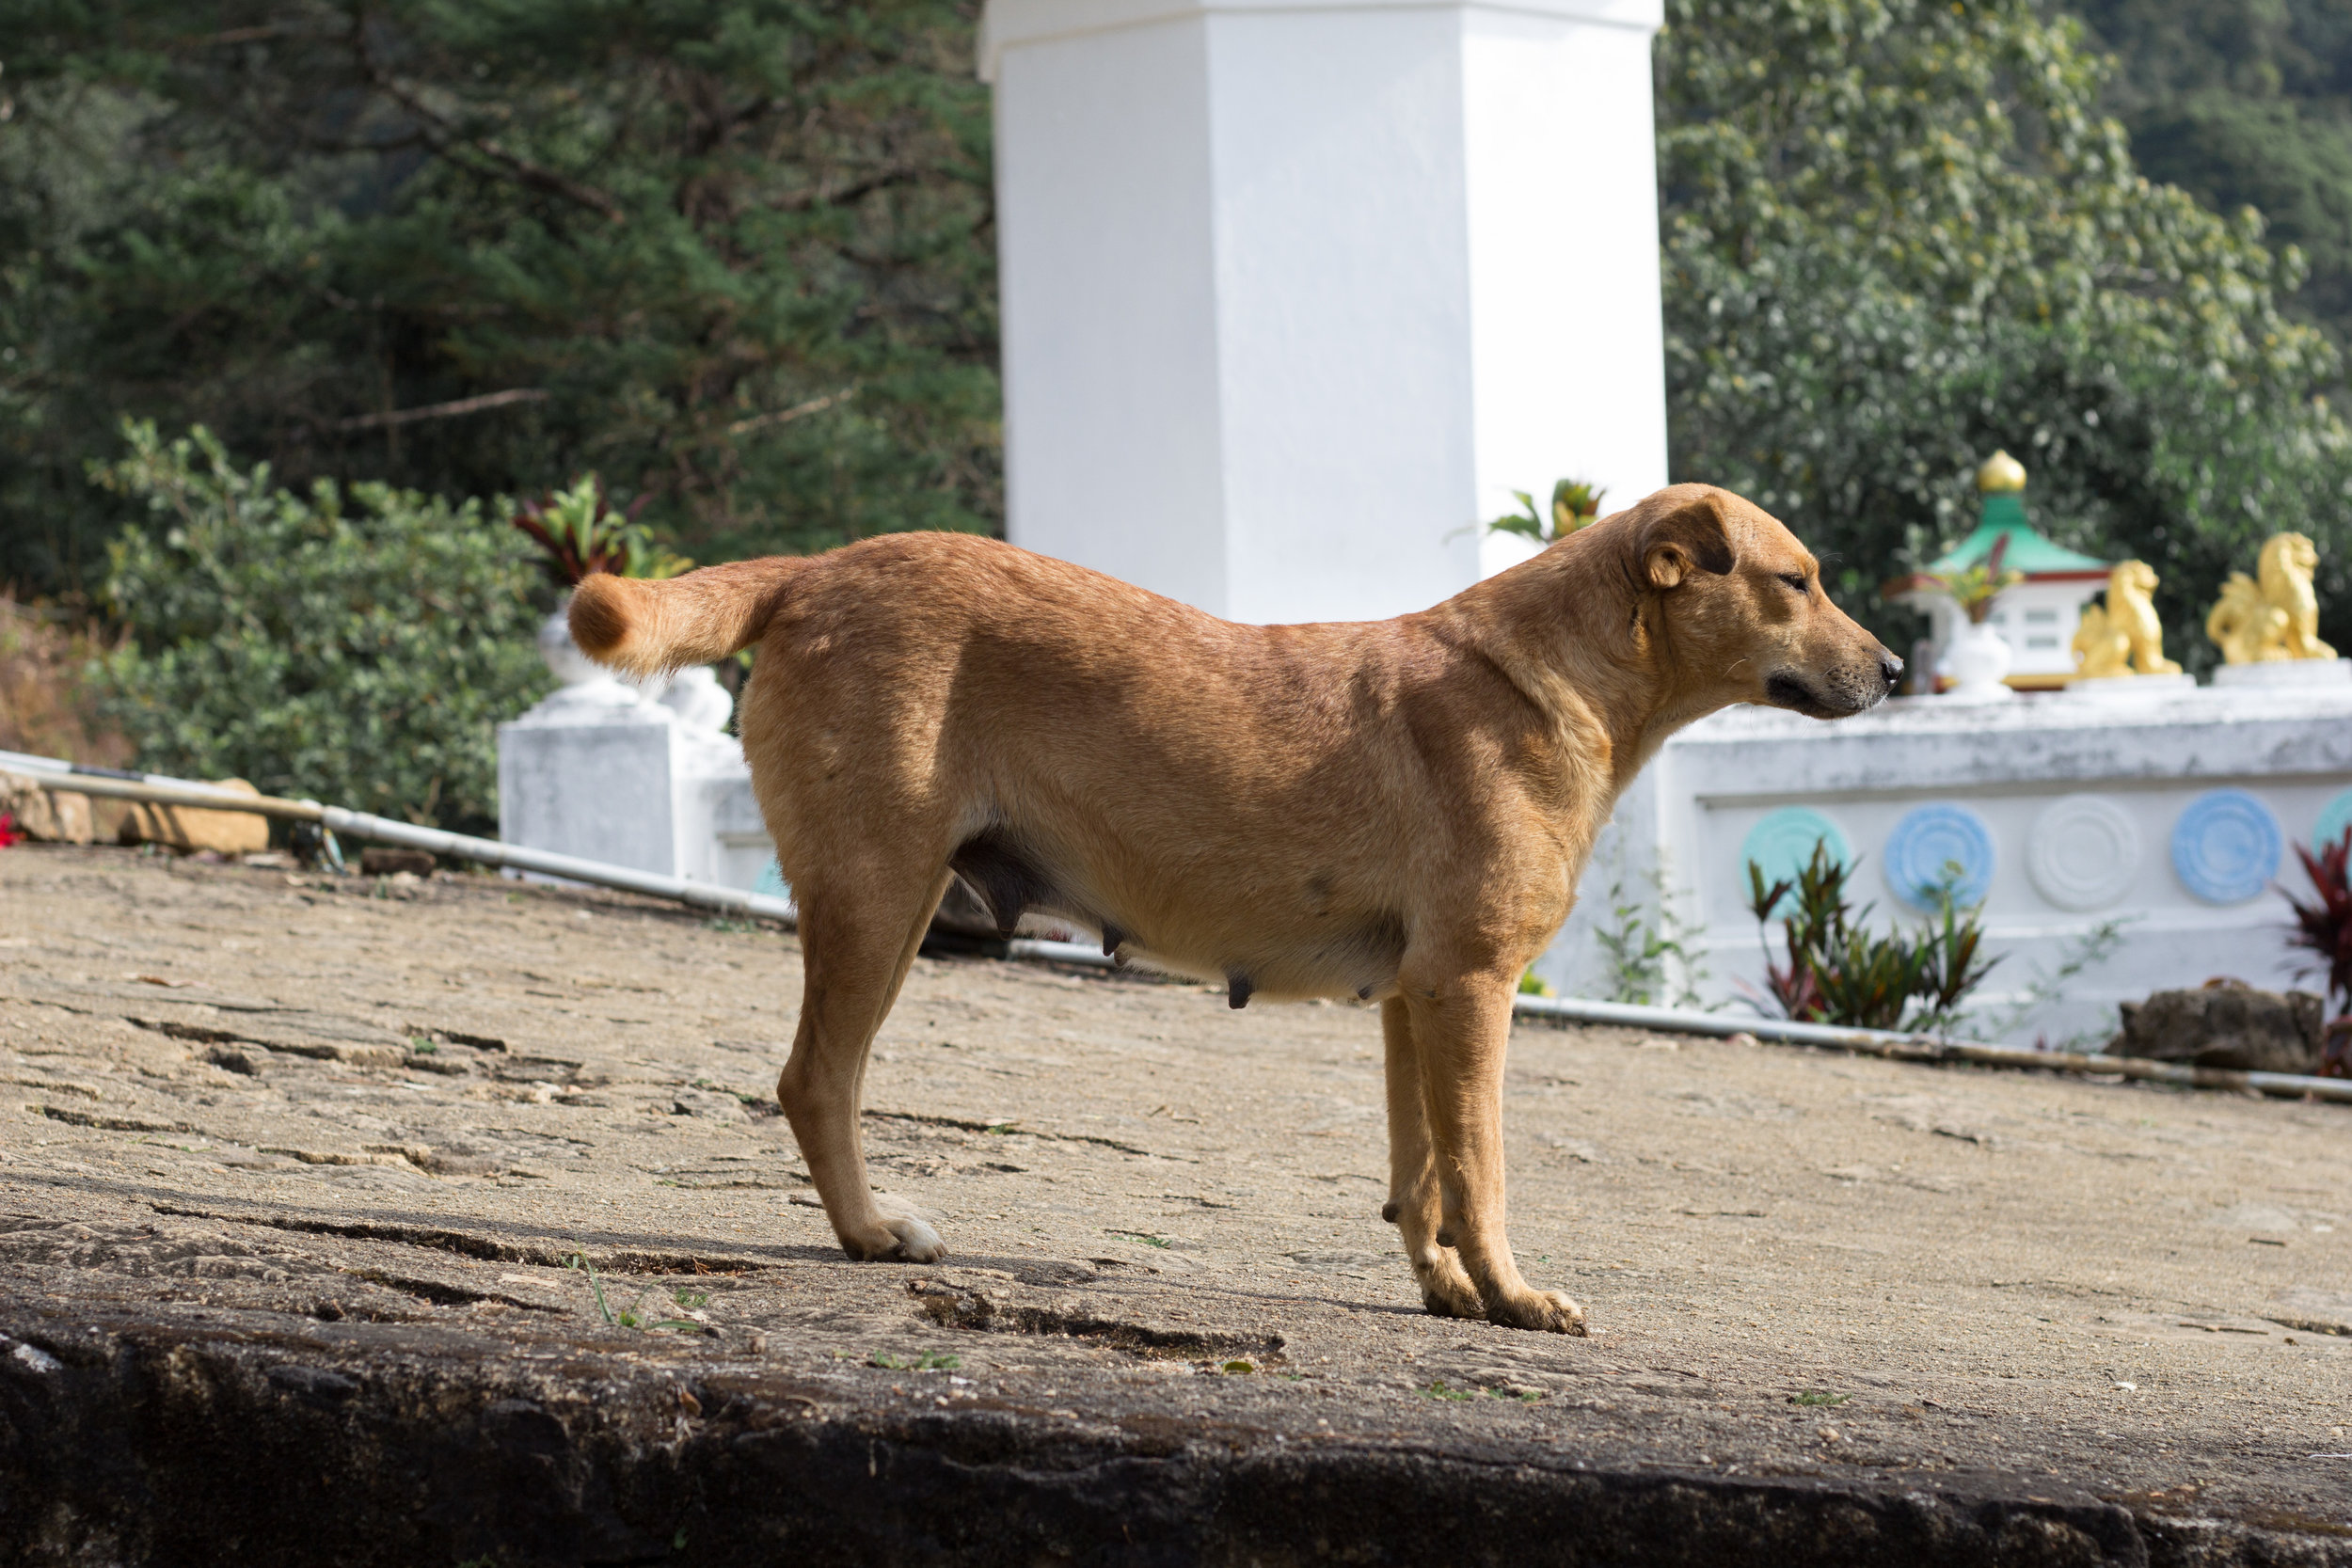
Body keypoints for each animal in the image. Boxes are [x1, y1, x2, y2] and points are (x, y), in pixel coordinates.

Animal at [579, 483, 1900, 1335]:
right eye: (1797, 581)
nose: (1893, 670)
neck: (1555, 672)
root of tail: (815, 567)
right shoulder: (1473, 985)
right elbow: (1482, 1169)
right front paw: (1515, 1297)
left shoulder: (1416, 997)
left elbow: (1421, 1170)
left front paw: (1449, 1289)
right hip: (877, 896)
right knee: (816, 1079)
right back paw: (867, 1230)